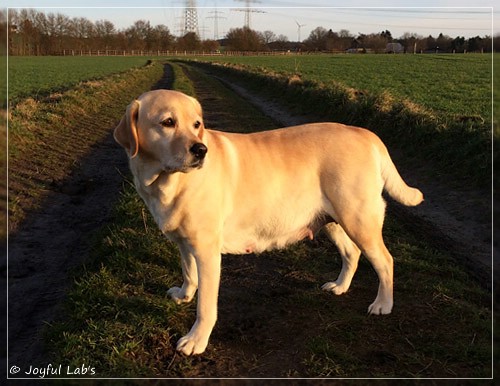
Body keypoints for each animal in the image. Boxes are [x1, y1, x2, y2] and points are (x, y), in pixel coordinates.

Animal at [113, 89, 422, 356]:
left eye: (196, 124)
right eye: (168, 122)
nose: (200, 150)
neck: (165, 181)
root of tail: (364, 132)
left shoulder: (207, 250)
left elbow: (206, 306)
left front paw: (196, 340)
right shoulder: (185, 242)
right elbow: (189, 273)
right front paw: (184, 294)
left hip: (359, 219)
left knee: (385, 260)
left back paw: (382, 304)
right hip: (333, 220)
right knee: (352, 253)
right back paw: (340, 286)